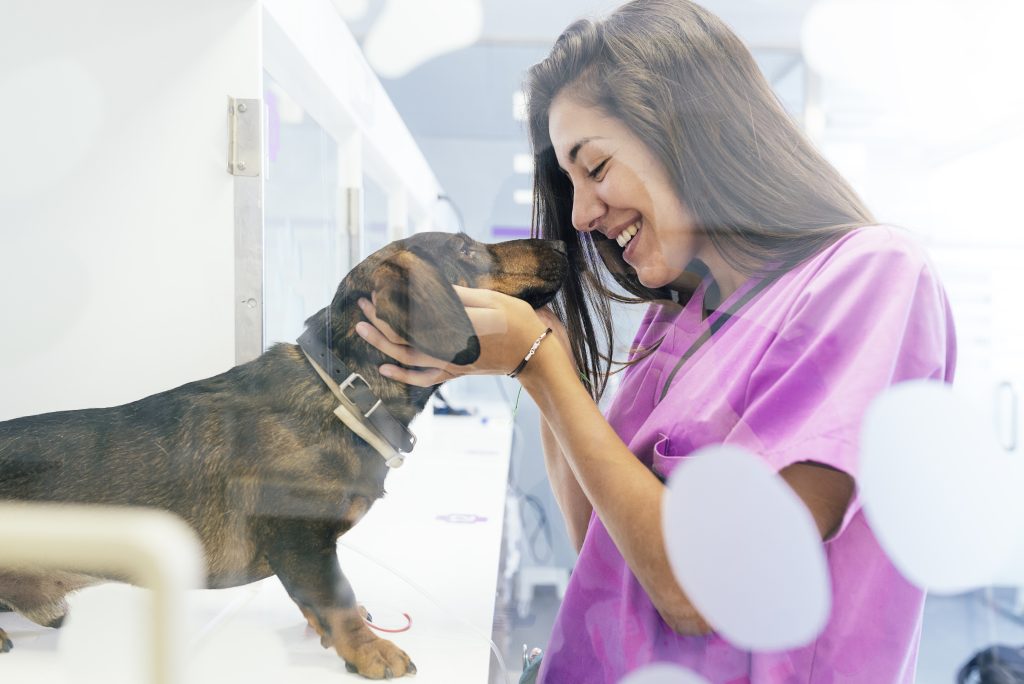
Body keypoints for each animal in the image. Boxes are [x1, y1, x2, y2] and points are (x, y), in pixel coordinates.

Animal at [0, 231, 569, 679]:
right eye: (465, 249)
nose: (564, 244)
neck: (346, 392)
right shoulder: (302, 537)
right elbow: (338, 602)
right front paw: (371, 651)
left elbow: (324, 602)